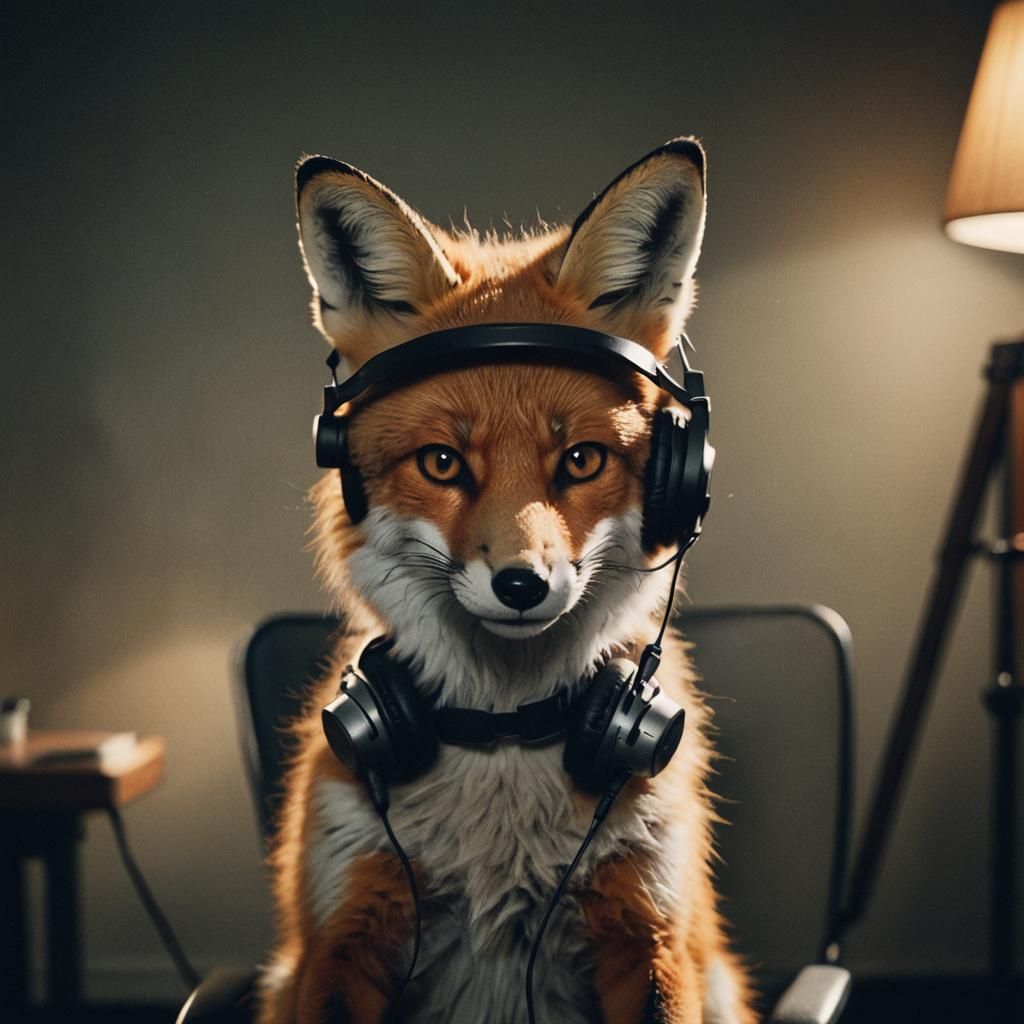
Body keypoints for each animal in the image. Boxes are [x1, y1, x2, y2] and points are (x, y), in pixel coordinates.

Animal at [258, 138, 755, 1024]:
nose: (522, 585)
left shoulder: (650, 932)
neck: (505, 736)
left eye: (581, 460)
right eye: (443, 463)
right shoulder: (341, 933)